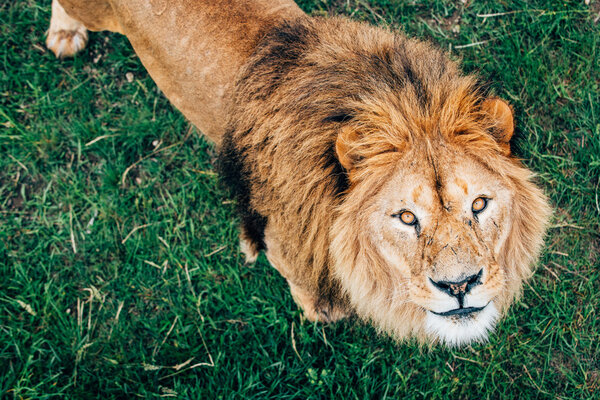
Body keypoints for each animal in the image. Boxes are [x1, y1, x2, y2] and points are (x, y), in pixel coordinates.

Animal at [48, 0, 552, 346]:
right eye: (406, 217)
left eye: (480, 204)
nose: (459, 285)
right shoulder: (283, 248)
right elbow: (311, 296)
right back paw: (64, 34)